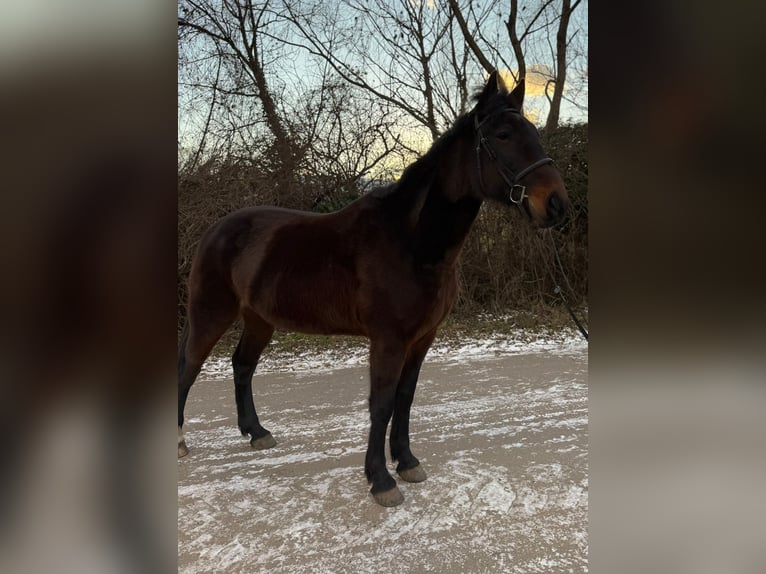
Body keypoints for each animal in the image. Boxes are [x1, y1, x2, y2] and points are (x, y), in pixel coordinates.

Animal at [178, 71, 569, 507]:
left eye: (532, 132)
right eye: (502, 135)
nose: (556, 205)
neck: (411, 241)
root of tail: (216, 229)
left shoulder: (422, 338)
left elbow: (404, 398)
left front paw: (408, 462)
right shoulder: (388, 339)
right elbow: (380, 404)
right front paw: (381, 480)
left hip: (259, 319)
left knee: (243, 365)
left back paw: (257, 433)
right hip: (211, 313)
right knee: (189, 366)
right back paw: (179, 442)